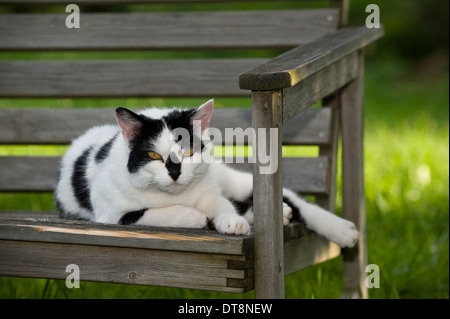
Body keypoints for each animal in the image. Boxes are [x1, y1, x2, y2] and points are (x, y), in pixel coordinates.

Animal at [55, 100, 358, 248]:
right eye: (154, 156)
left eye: (189, 152)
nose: (175, 174)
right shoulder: (112, 215)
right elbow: (157, 213)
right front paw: (198, 218)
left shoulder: (209, 189)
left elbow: (221, 204)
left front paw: (231, 222)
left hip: (226, 176)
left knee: (291, 199)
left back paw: (341, 229)